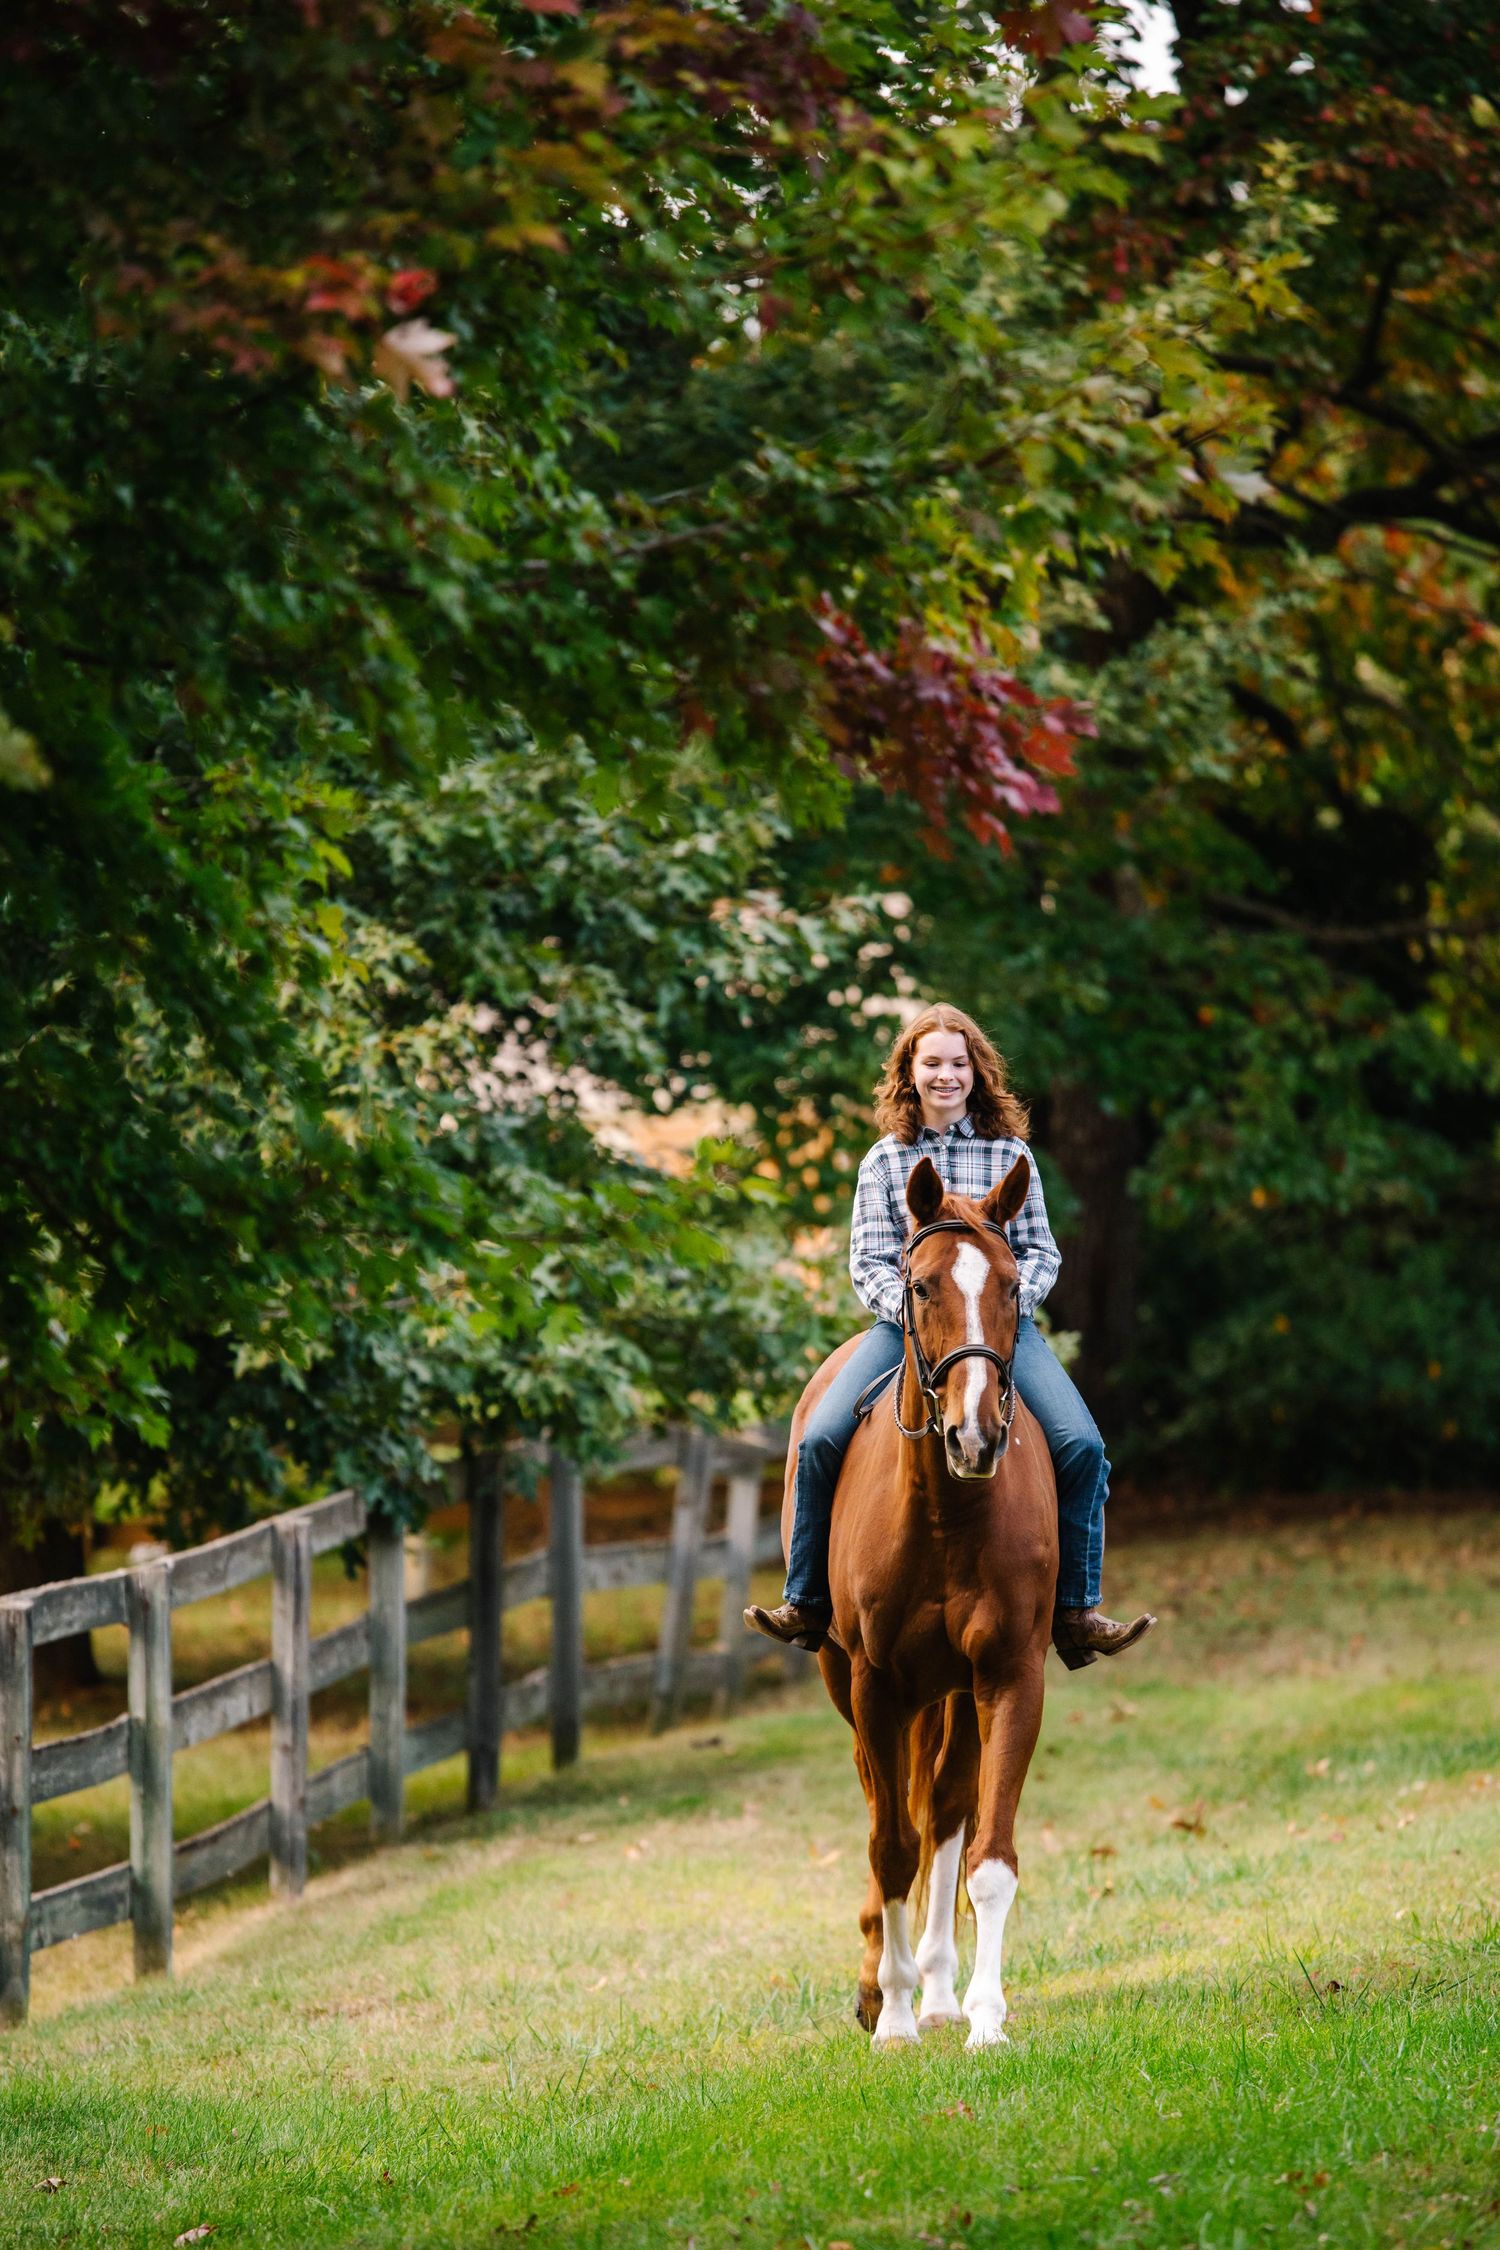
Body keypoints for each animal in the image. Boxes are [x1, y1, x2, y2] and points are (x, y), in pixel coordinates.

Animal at [781, 1152, 1057, 2048]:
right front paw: (893, 2018)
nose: (975, 1437)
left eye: (1010, 1285)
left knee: (943, 1809)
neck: (946, 1516)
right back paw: (886, 1984)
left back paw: (939, 1989)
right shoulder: (876, 1687)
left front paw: (981, 2018)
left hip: (956, 1696)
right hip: (851, 1685)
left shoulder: (1008, 1677)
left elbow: (986, 1854)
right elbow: (890, 1846)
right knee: (886, 1807)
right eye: (923, 1285)